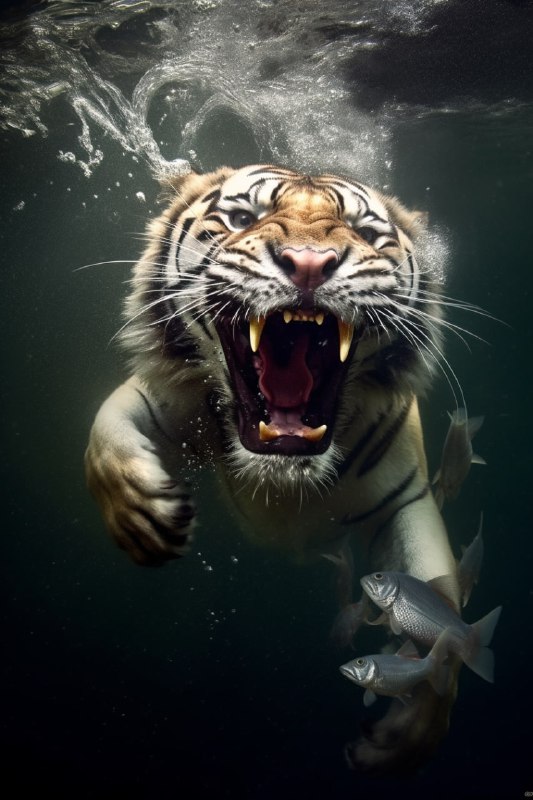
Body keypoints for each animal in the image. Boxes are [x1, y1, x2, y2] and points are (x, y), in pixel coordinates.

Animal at [85, 163, 462, 775]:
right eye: (243, 218)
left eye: (364, 232)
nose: (309, 262)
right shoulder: (161, 397)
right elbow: (104, 433)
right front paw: (144, 516)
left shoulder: (405, 502)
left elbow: (442, 609)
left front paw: (411, 731)